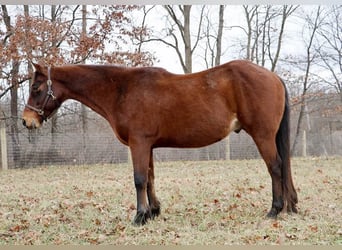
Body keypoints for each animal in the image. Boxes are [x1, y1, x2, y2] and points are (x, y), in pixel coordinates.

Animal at [22, 60, 298, 225]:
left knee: (275, 167)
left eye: (36, 87)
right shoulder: (148, 146)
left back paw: (274, 210)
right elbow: (150, 178)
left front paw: (139, 216)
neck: (122, 90)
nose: (26, 121)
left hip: (263, 135)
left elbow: (139, 179)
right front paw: (153, 212)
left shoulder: (139, 143)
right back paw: (289, 206)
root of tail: (273, 76)